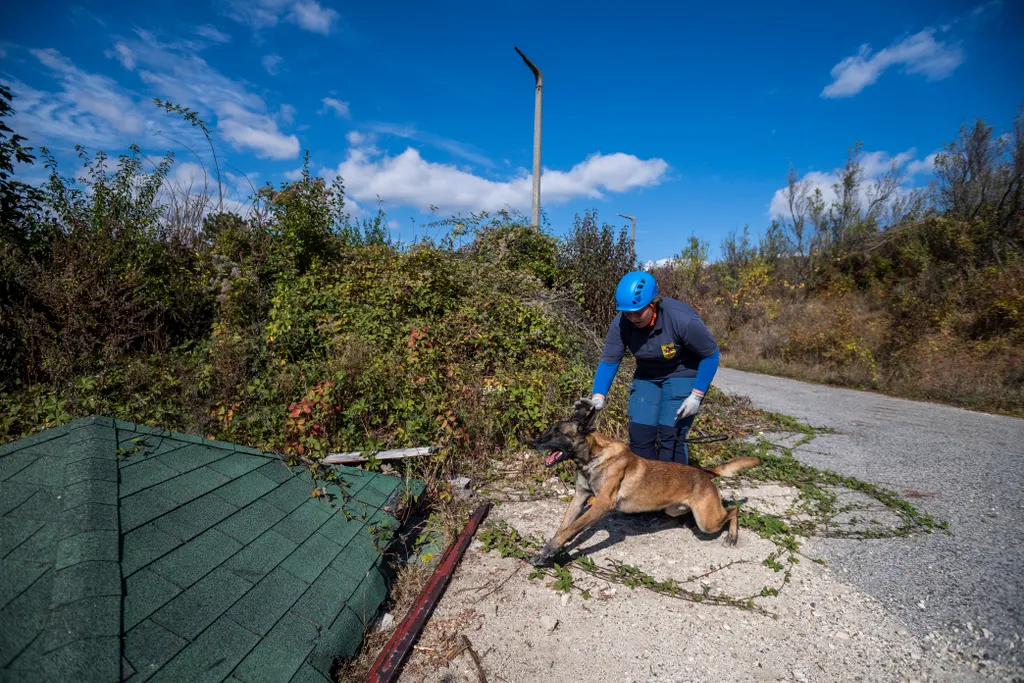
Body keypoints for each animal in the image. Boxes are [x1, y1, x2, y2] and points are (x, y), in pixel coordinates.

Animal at [528, 403, 761, 569]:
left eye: (558, 433)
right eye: (549, 430)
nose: (531, 443)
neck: (593, 457)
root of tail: (704, 472)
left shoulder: (601, 505)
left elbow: (569, 530)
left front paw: (548, 552)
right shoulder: (579, 499)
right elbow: (563, 528)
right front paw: (548, 552)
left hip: (708, 522)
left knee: (733, 509)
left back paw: (732, 537)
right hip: (676, 509)